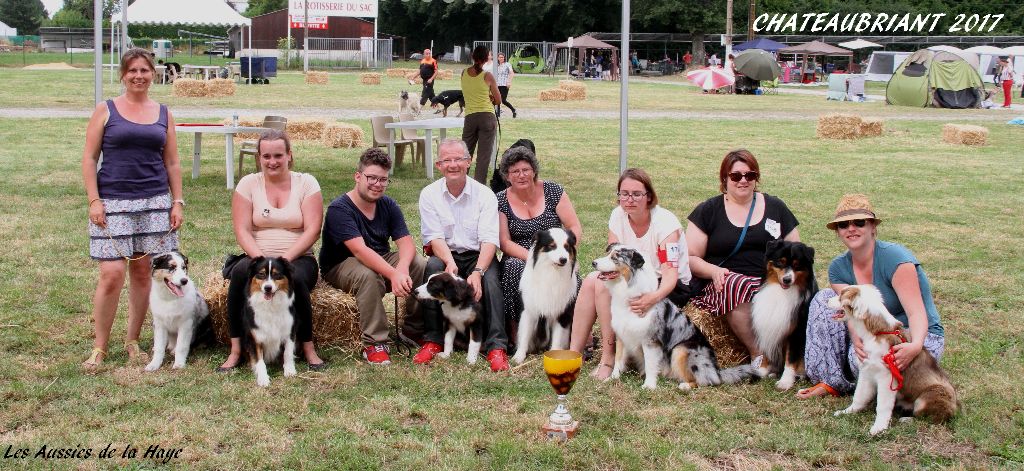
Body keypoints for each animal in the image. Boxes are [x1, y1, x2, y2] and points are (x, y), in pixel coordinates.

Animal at [241, 258, 299, 387]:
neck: (271, 306)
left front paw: (289, 370)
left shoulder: (289, 331)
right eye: (261, 274)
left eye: (276, 275)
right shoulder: (255, 338)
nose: (268, 287)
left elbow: (287, 352)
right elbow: (259, 361)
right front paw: (263, 379)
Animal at [509, 227, 577, 364]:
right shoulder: (528, 311)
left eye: (567, 246)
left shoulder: (561, 313)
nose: (563, 259)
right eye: (552, 246)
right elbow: (524, 336)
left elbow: (557, 339)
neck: (551, 273)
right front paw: (519, 357)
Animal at [593, 244, 761, 389]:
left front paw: (649, 385)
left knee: (705, 381)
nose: (593, 262)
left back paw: (685, 386)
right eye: (608, 253)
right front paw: (612, 378)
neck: (627, 290)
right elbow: (618, 359)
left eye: (615, 258)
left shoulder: (651, 341)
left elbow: (650, 364)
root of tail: (717, 370)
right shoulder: (621, 334)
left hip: (681, 350)